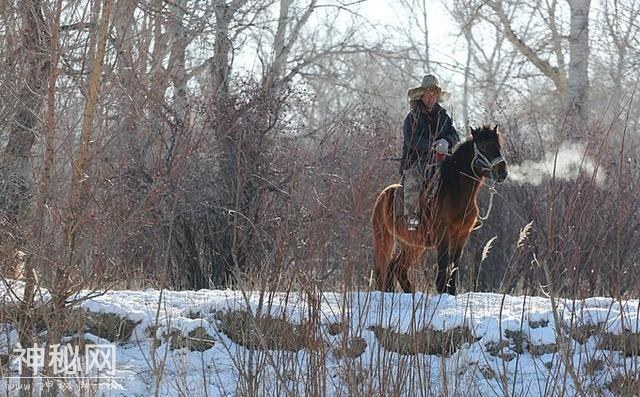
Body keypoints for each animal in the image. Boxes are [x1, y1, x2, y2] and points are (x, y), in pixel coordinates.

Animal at [372, 124, 508, 294]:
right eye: (482, 145)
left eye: (498, 145)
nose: (502, 172)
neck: (456, 192)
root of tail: (382, 196)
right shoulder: (443, 234)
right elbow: (443, 265)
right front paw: (442, 290)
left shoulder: (462, 235)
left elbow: (454, 265)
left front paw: (451, 291)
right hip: (383, 239)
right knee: (383, 269)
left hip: (414, 245)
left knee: (397, 268)